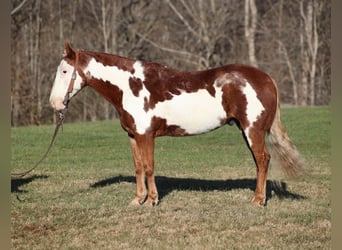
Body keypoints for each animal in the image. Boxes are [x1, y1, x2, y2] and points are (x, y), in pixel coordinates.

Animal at [48, 43, 304, 206]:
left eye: (65, 71)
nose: (54, 103)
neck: (130, 86)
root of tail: (266, 78)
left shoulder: (145, 135)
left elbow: (149, 167)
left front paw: (151, 201)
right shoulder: (133, 135)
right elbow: (138, 167)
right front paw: (137, 200)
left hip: (253, 130)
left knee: (263, 160)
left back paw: (258, 201)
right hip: (248, 131)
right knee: (260, 162)